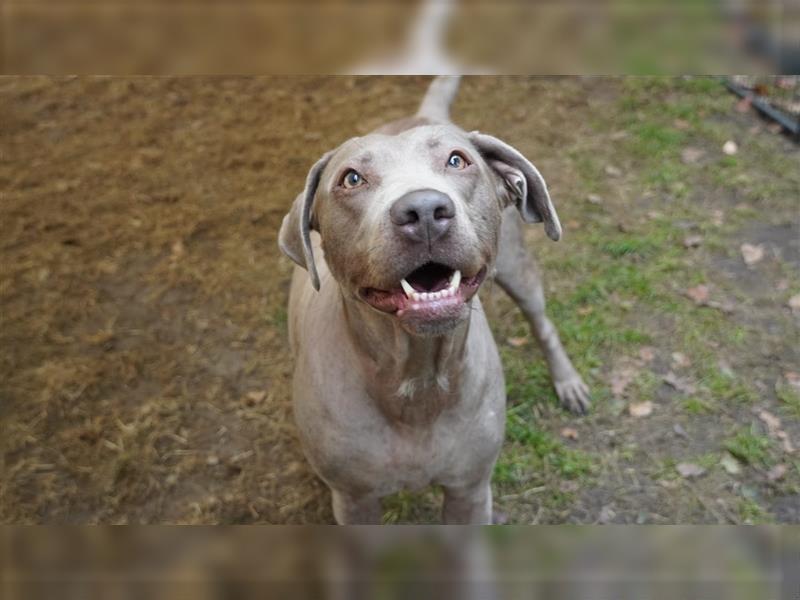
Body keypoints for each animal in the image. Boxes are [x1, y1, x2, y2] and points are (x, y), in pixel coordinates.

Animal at [280, 77, 588, 524]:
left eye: (457, 161)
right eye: (351, 179)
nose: (423, 210)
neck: (417, 379)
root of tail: (424, 112)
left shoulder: (470, 490)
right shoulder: (354, 501)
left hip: (517, 270)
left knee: (541, 323)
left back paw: (567, 382)